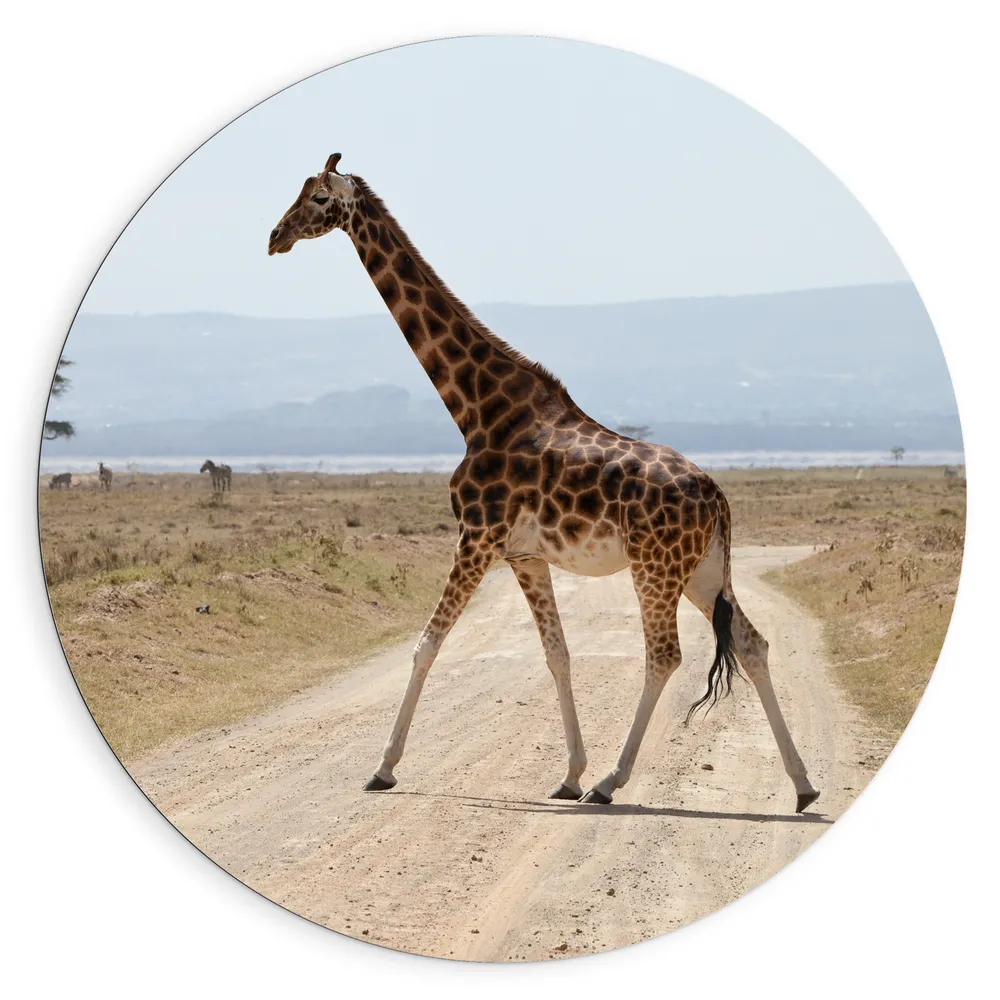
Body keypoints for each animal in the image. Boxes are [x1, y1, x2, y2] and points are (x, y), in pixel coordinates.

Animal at [268, 154, 820, 813]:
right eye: (300, 192)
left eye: (321, 199)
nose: (275, 237)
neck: (478, 407)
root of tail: (717, 498)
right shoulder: (524, 555)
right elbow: (557, 655)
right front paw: (569, 774)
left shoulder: (476, 537)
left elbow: (427, 644)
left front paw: (384, 767)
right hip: (706, 568)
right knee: (752, 644)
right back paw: (803, 786)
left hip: (655, 566)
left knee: (665, 655)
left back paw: (613, 782)